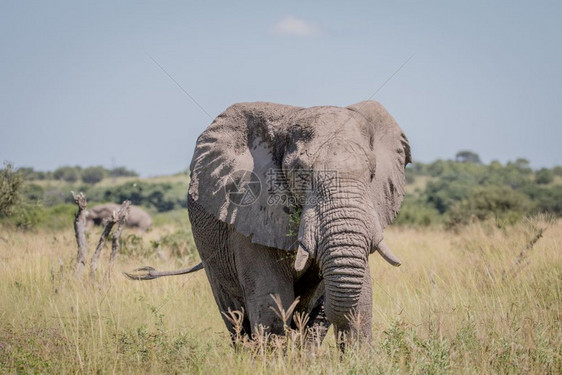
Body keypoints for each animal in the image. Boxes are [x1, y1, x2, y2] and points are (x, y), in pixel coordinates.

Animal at [127, 100, 410, 350]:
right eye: (301, 173)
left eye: (372, 174)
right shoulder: (248, 212)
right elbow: (271, 300)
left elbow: (361, 302)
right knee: (235, 314)